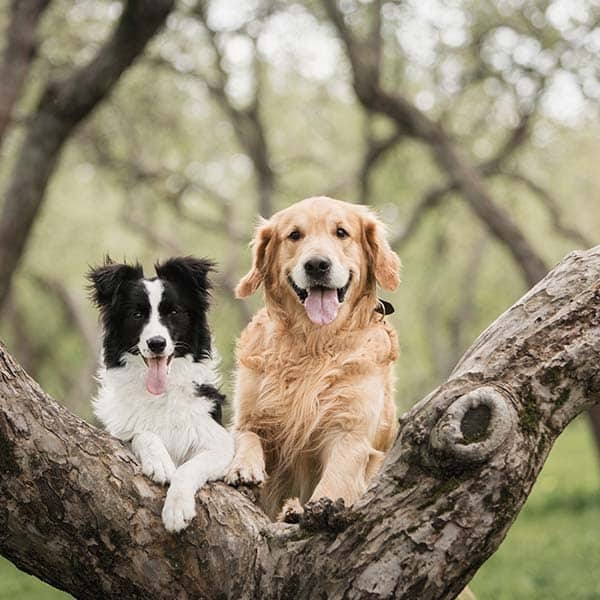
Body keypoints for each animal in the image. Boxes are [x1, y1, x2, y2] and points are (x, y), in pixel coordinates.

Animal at [88, 255, 233, 532]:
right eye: (137, 315)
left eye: (173, 312)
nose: (156, 343)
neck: (160, 394)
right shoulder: (119, 432)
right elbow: (143, 434)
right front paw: (160, 462)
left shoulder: (222, 444)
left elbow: (189, 467)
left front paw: (176, 510)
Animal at [224, 197, 398, 520]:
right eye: (294, 235)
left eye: (341, 232)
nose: (317, 264)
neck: (313, 344)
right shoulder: (250, 417)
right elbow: (246, 435)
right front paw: (243, 467)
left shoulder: (350, 431)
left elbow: (333, 482)